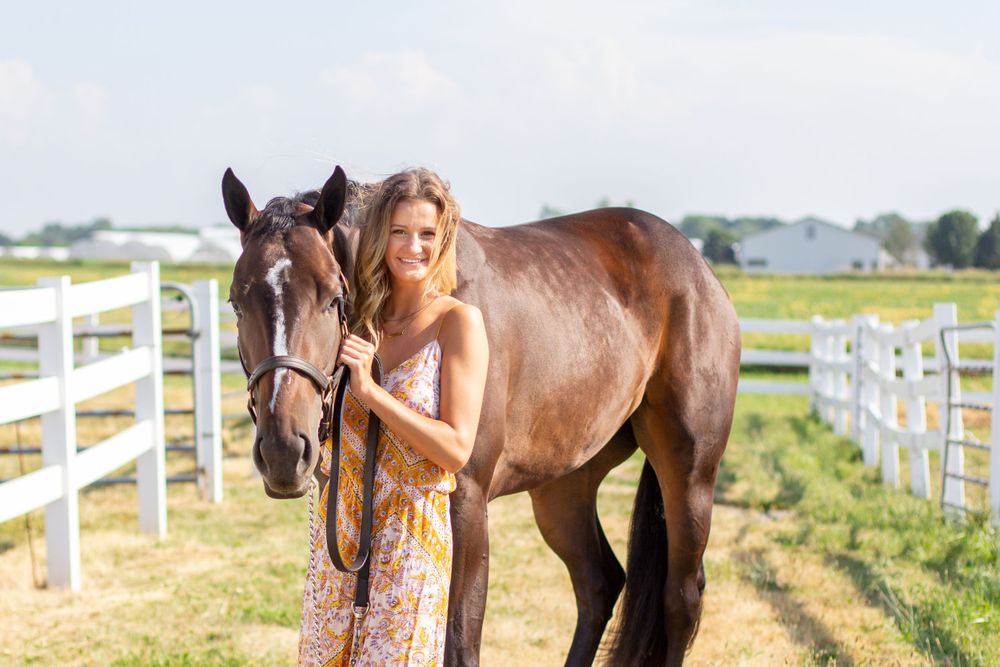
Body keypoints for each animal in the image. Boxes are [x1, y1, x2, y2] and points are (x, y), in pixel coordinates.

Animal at [222, 165, 741, 666]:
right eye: (236, 302)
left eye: (332, 298)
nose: (283, 450)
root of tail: (698, 267)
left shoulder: (467, 503)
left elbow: (459, 643)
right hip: (563, 486)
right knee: (598, 584)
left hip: (689, 474)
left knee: (680, 599)